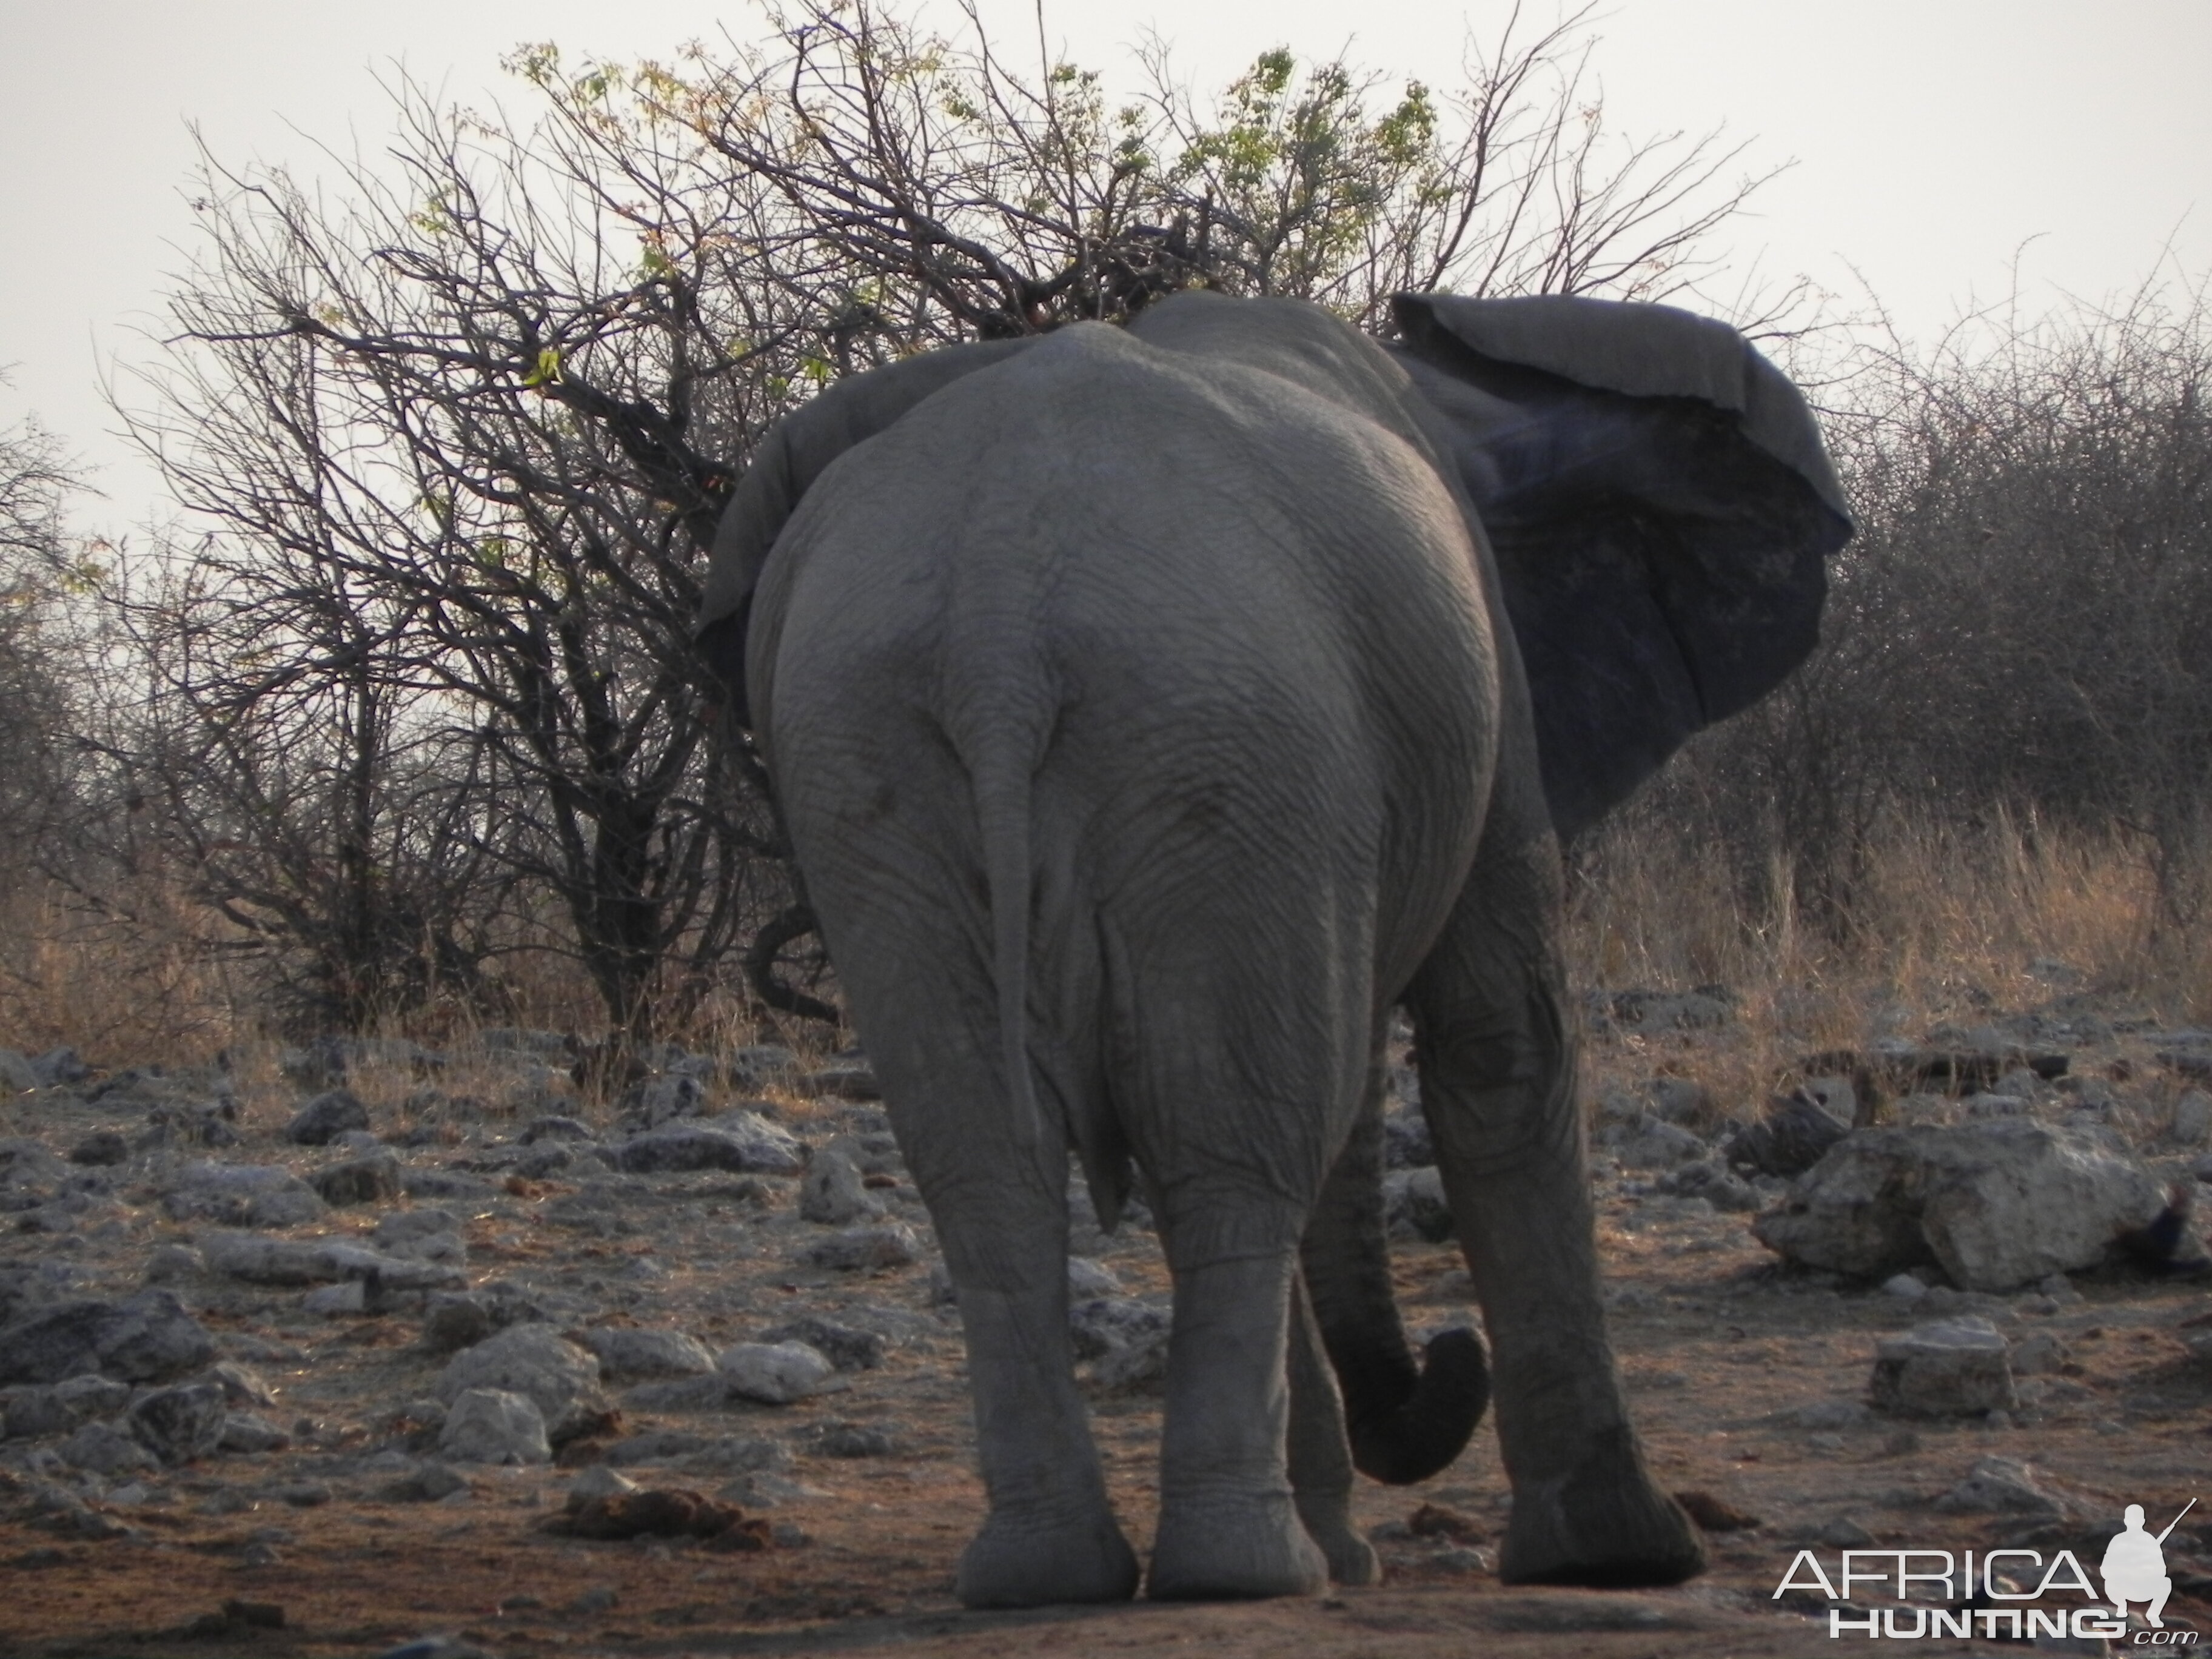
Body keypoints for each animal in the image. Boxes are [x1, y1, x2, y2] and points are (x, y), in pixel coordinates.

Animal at [690, 289, 1849, 1610]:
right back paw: (1248, 1574)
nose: (1442, 1359)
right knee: (1244, 1159)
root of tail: (996, 619)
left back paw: (1057, 1576)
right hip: (1229, 732)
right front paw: (1619, 1557)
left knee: (1008, 1170)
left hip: (878, 761)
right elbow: (1499, 1039)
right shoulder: (1488, 691)